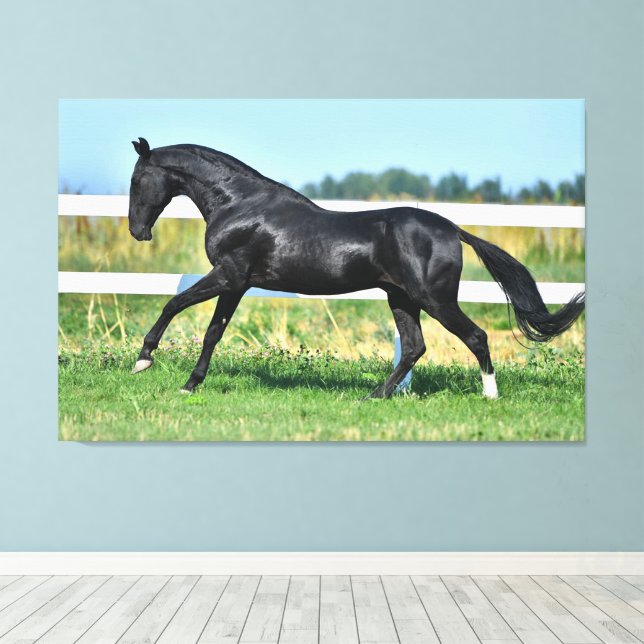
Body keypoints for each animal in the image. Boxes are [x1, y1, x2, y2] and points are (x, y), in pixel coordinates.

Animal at [128, 137, 585, 398]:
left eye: (136, 180)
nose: (137, 231)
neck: (239, 204)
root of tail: (453, 229)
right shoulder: (237, 284)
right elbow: (213, 332)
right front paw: (188, 383)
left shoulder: (229, 275)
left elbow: (175, 307)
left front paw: (146, 362)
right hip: (402, 298)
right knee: (415, 347)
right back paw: (376, 395)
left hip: (433, 298)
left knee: (475, 336)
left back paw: (490, 396)